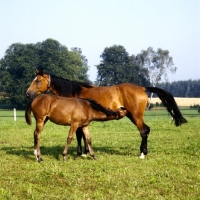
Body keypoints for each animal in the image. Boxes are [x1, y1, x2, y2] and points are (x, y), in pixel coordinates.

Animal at [25, 69, 188, 159]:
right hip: (131, 115)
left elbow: (78, 135)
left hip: (136, 116)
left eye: (37, 80)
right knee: (146, 129)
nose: (27, 94)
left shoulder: (77, 120)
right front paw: (85, 152)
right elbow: (83, 136)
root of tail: (141, 87)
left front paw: (81, 153)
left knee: (143, 131)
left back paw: (142, 154)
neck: (74, 92)